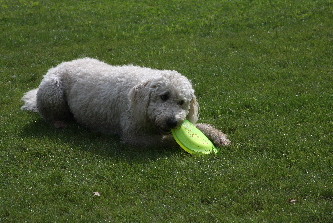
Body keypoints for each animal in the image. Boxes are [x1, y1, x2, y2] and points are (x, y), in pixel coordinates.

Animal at [20, 58, 228, 147]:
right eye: (163, 96)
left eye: (182, 102)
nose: (172, 122)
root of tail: (57, 66)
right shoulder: (133, 135)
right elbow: (165, 139)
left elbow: (199, 127)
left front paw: (216, 135)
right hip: (52, 92)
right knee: (49, 115)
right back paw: (59, 122)